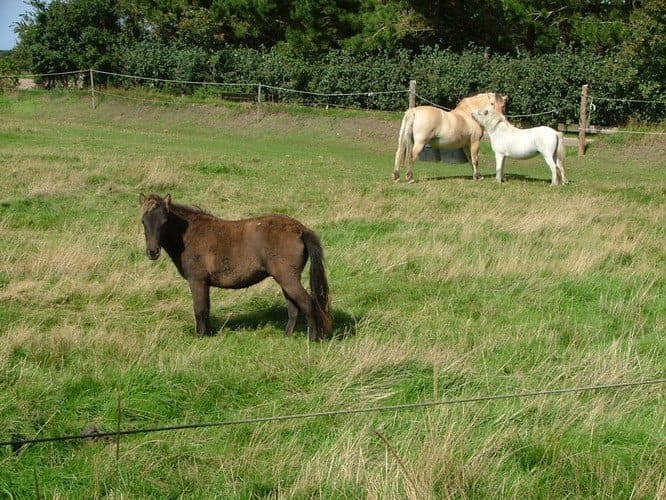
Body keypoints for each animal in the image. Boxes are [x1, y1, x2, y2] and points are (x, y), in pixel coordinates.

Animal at [139, 194, 332, 340]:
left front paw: (200, 336)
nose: (152, 252)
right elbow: (206, 309)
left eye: (164, 221)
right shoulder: (204, 283)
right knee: (293, 308)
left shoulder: (197, 281)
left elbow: (200, 309)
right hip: (286, 279)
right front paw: (208, 333)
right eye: (143, 221)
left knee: (307, 303)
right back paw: (287, 336)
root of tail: (300, 230)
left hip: (288, 279)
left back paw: (312, 338)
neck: (189, 235)